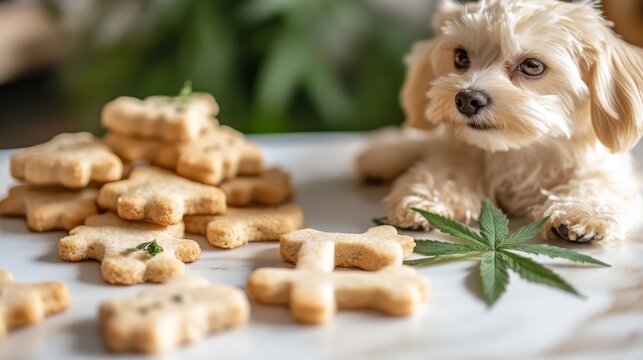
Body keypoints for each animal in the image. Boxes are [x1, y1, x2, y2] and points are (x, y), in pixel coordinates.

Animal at [358, 0, 643, 243]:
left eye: (532, 66)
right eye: (461, 57)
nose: (466, 99)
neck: (520, 151)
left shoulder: (604, 169)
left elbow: (598, 185)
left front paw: (582, 213)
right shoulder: (457, 153)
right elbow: (443, 174)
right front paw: (425, 199)